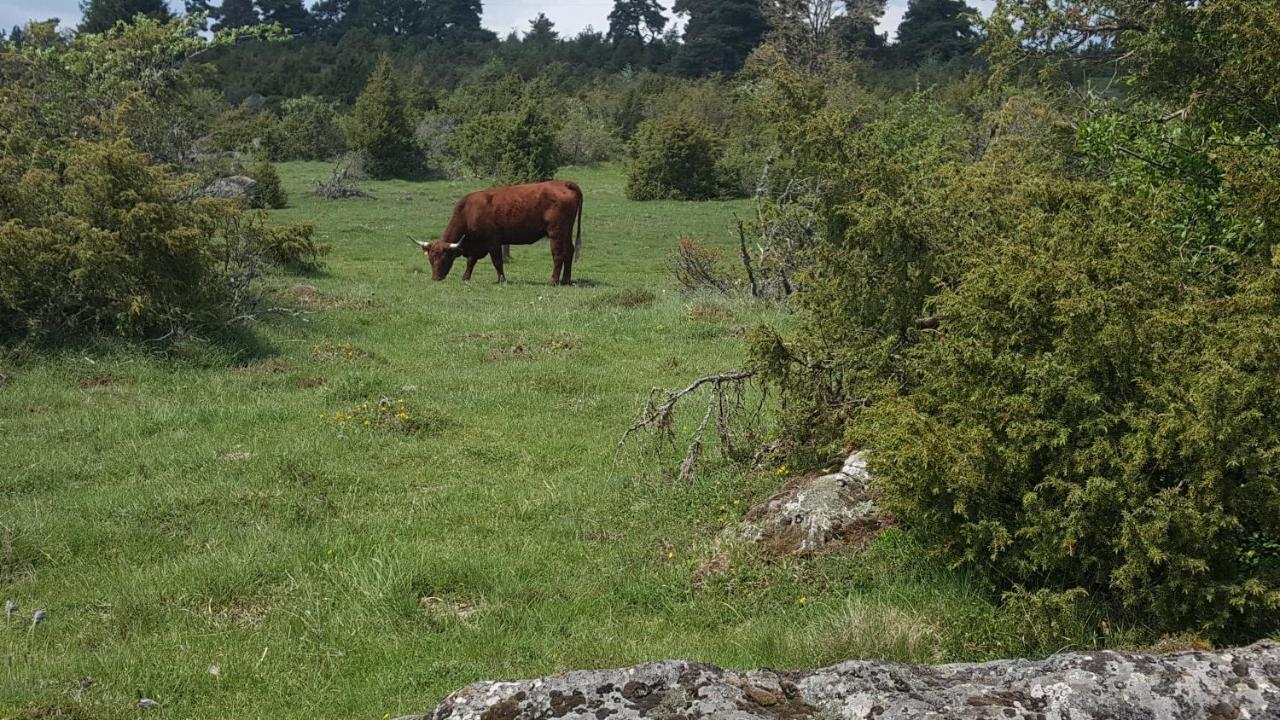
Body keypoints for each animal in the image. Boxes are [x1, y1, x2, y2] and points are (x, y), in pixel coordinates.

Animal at [414, 178, 586, 284]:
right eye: (430, 259)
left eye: (444, 258)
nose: (436, 278)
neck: (468, 212)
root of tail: (564, 183)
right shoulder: (478, 244)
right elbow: (471, 261)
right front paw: (465, 277)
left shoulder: (493, 242)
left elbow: (497, 261)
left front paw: (501, 279)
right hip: (566, 232)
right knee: (569, 251)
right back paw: (566, 280)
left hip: (556, 232)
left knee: (558, 255)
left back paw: (553, 281)